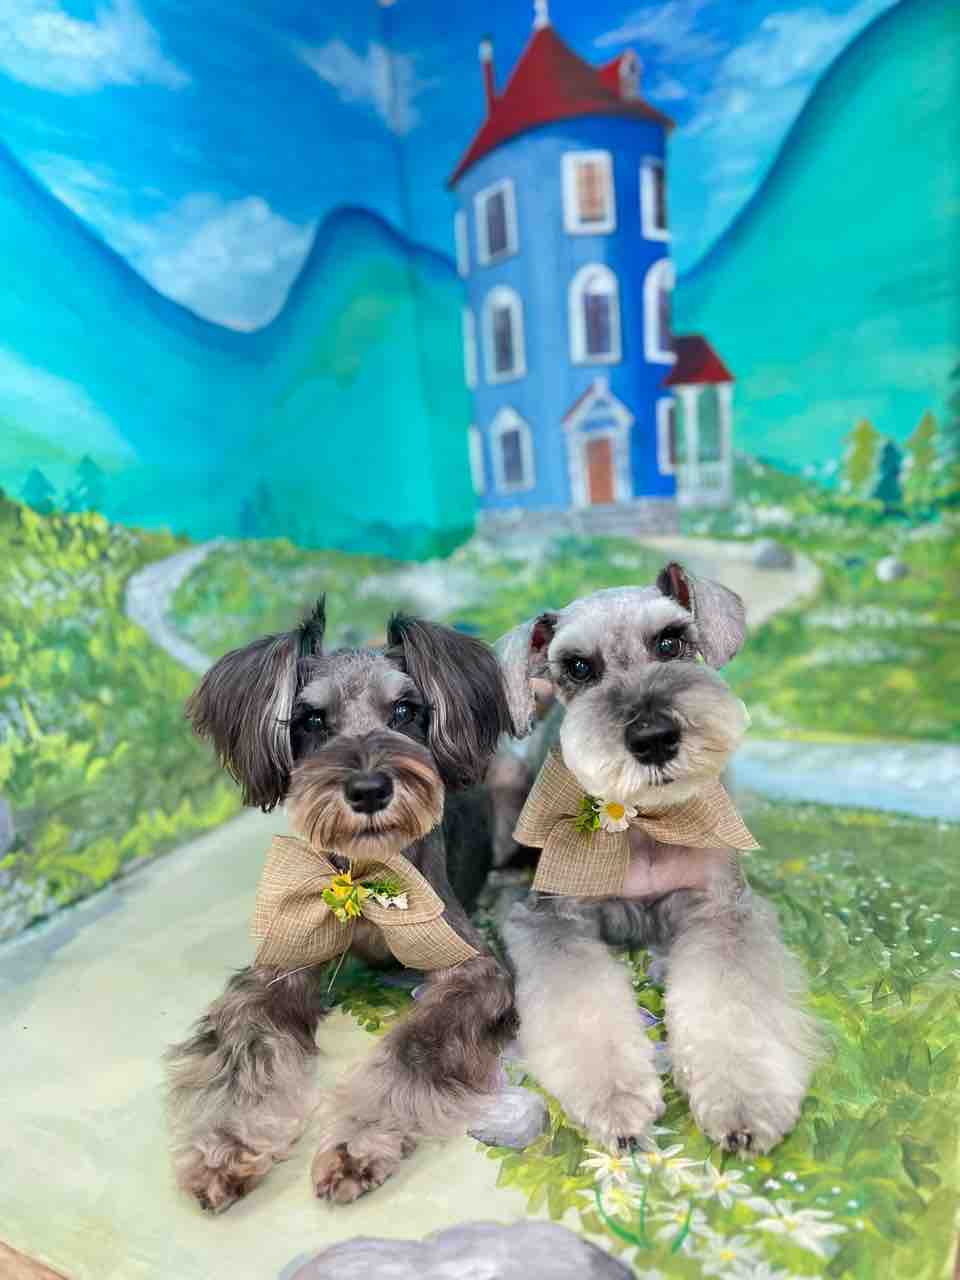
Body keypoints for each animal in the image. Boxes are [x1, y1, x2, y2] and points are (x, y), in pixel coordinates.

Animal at [165, 601, 517, 1212]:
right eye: (310, 720)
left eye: (405, 710)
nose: (369, 789)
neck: (362, 874)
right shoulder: (278, 964)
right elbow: (243, 1053)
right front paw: (223, 1149)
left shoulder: (471, 969)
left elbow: (413, 1048)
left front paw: (356, 1145)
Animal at [497, 563, 821, 1155]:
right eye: (578, 667)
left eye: (670, 641)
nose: (653, 737)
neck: (640, 820)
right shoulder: (551, 917)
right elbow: (580, 997)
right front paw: (616, 1100)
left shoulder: (722, 910)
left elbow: (732, 1003)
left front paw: (746, 1101)